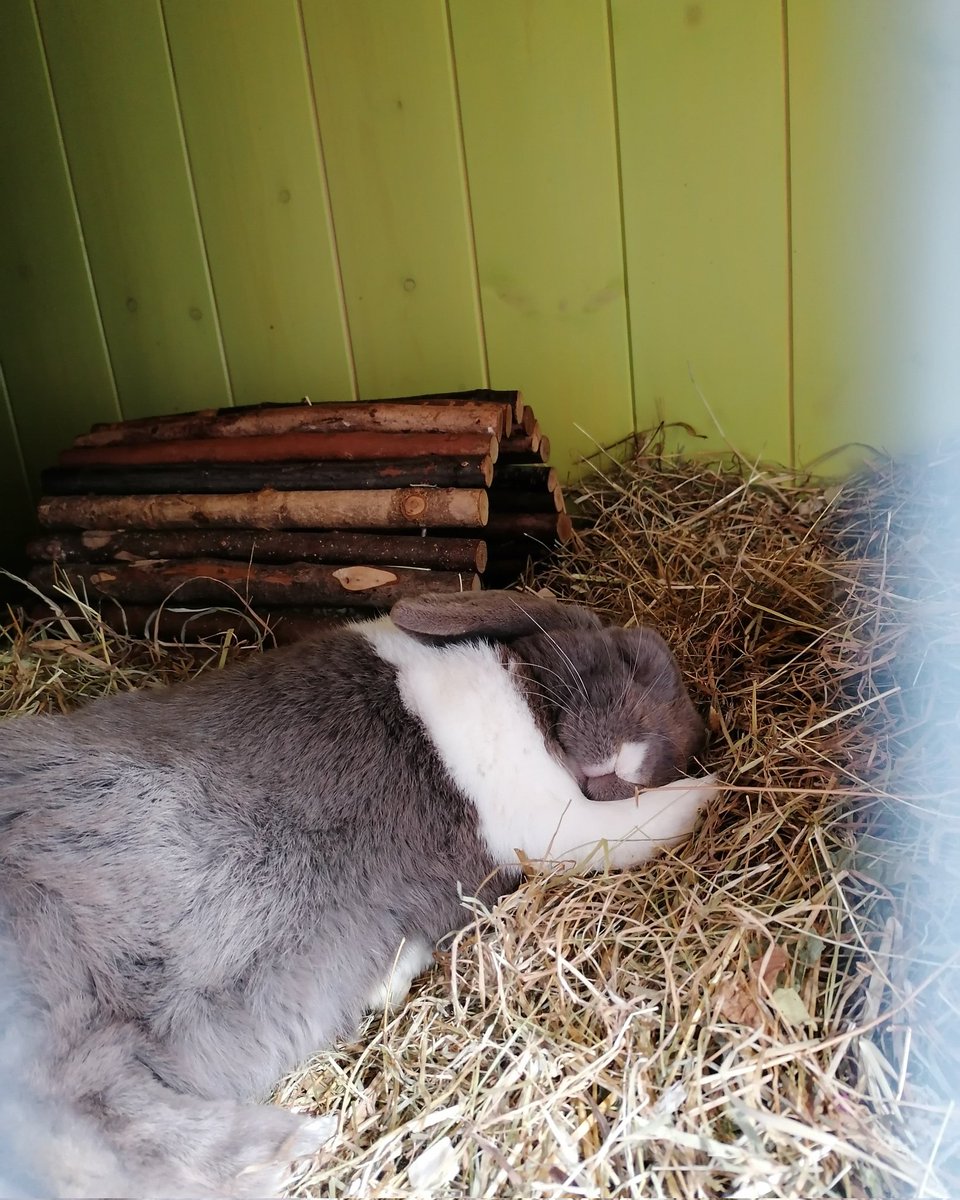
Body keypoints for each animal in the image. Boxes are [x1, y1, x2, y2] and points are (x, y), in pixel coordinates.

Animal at [0, 589, 716, 1198]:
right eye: (629, 658)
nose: (631, 764)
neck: (530, 707)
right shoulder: (555, 822)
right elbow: (638, 824)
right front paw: (709, 794)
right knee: (95, 1116)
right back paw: (292, 1146)